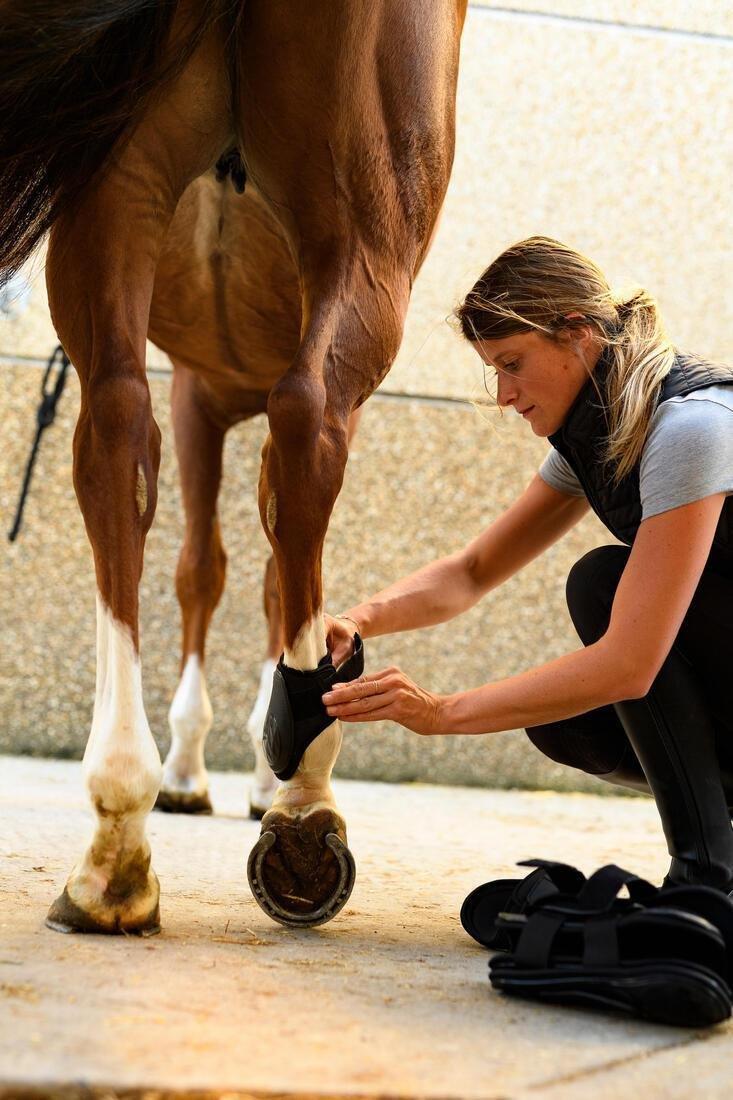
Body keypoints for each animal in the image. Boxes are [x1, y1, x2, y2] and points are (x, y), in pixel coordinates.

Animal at [1, 0, 466, 932]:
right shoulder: (201, 393)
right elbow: (219, 572)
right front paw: (215, 767)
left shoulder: (199, 390)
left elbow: (247, 572)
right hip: (358, 239)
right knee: (290, 424)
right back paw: (295, 800)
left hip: (125, 188)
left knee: (119, 420)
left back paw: (120, 843)